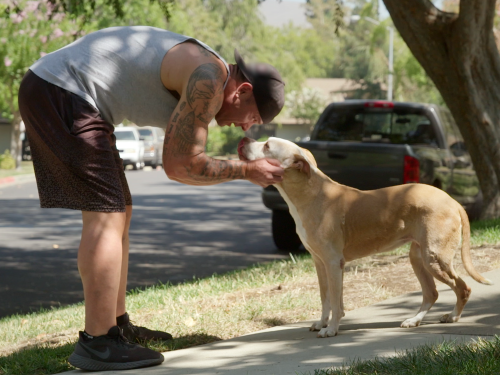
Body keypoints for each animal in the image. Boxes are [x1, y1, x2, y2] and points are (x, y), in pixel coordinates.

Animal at [238, 137, 492, 340]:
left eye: (267, 146)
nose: (243, 139)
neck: (310, 193)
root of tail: (452, 201)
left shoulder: (333, 263)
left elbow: (336, 301)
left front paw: (331, 329)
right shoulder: (320, 263)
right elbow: (325, 298)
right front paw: (322, 323)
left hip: (434, 257)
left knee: (463, 288)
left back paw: (453, 316)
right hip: (418, 257)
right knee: (432, 293)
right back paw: (414, 320)